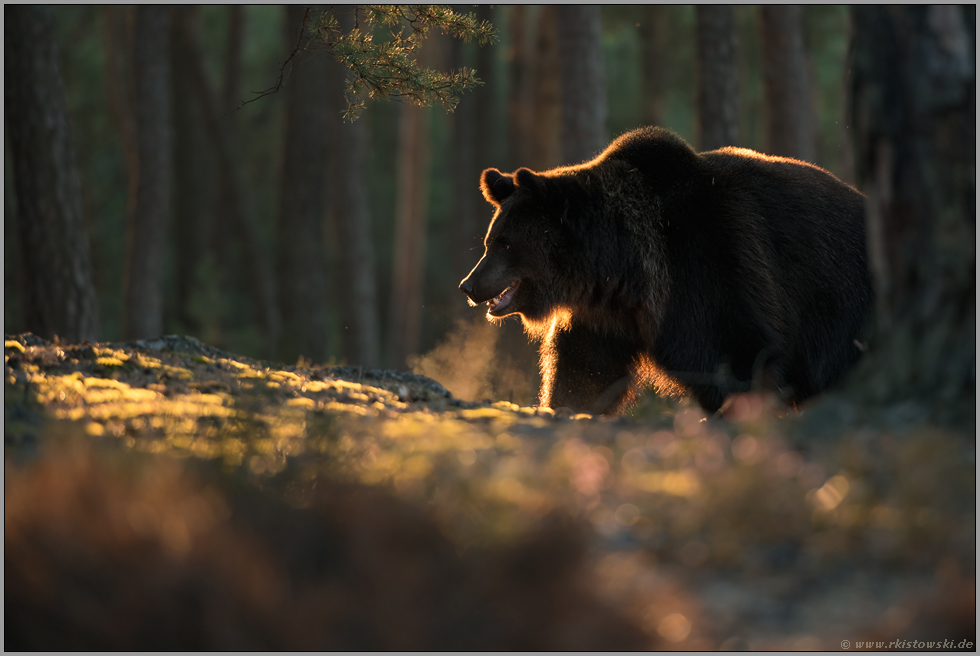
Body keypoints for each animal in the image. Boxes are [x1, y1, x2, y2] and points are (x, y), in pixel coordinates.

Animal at [460, 127, 872, 416]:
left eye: (505, 244)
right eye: (490, 240)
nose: (469, 284)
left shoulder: (710, 267)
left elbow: (740, 358)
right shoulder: (604, 317)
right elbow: (583, 372)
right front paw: (562, 406)